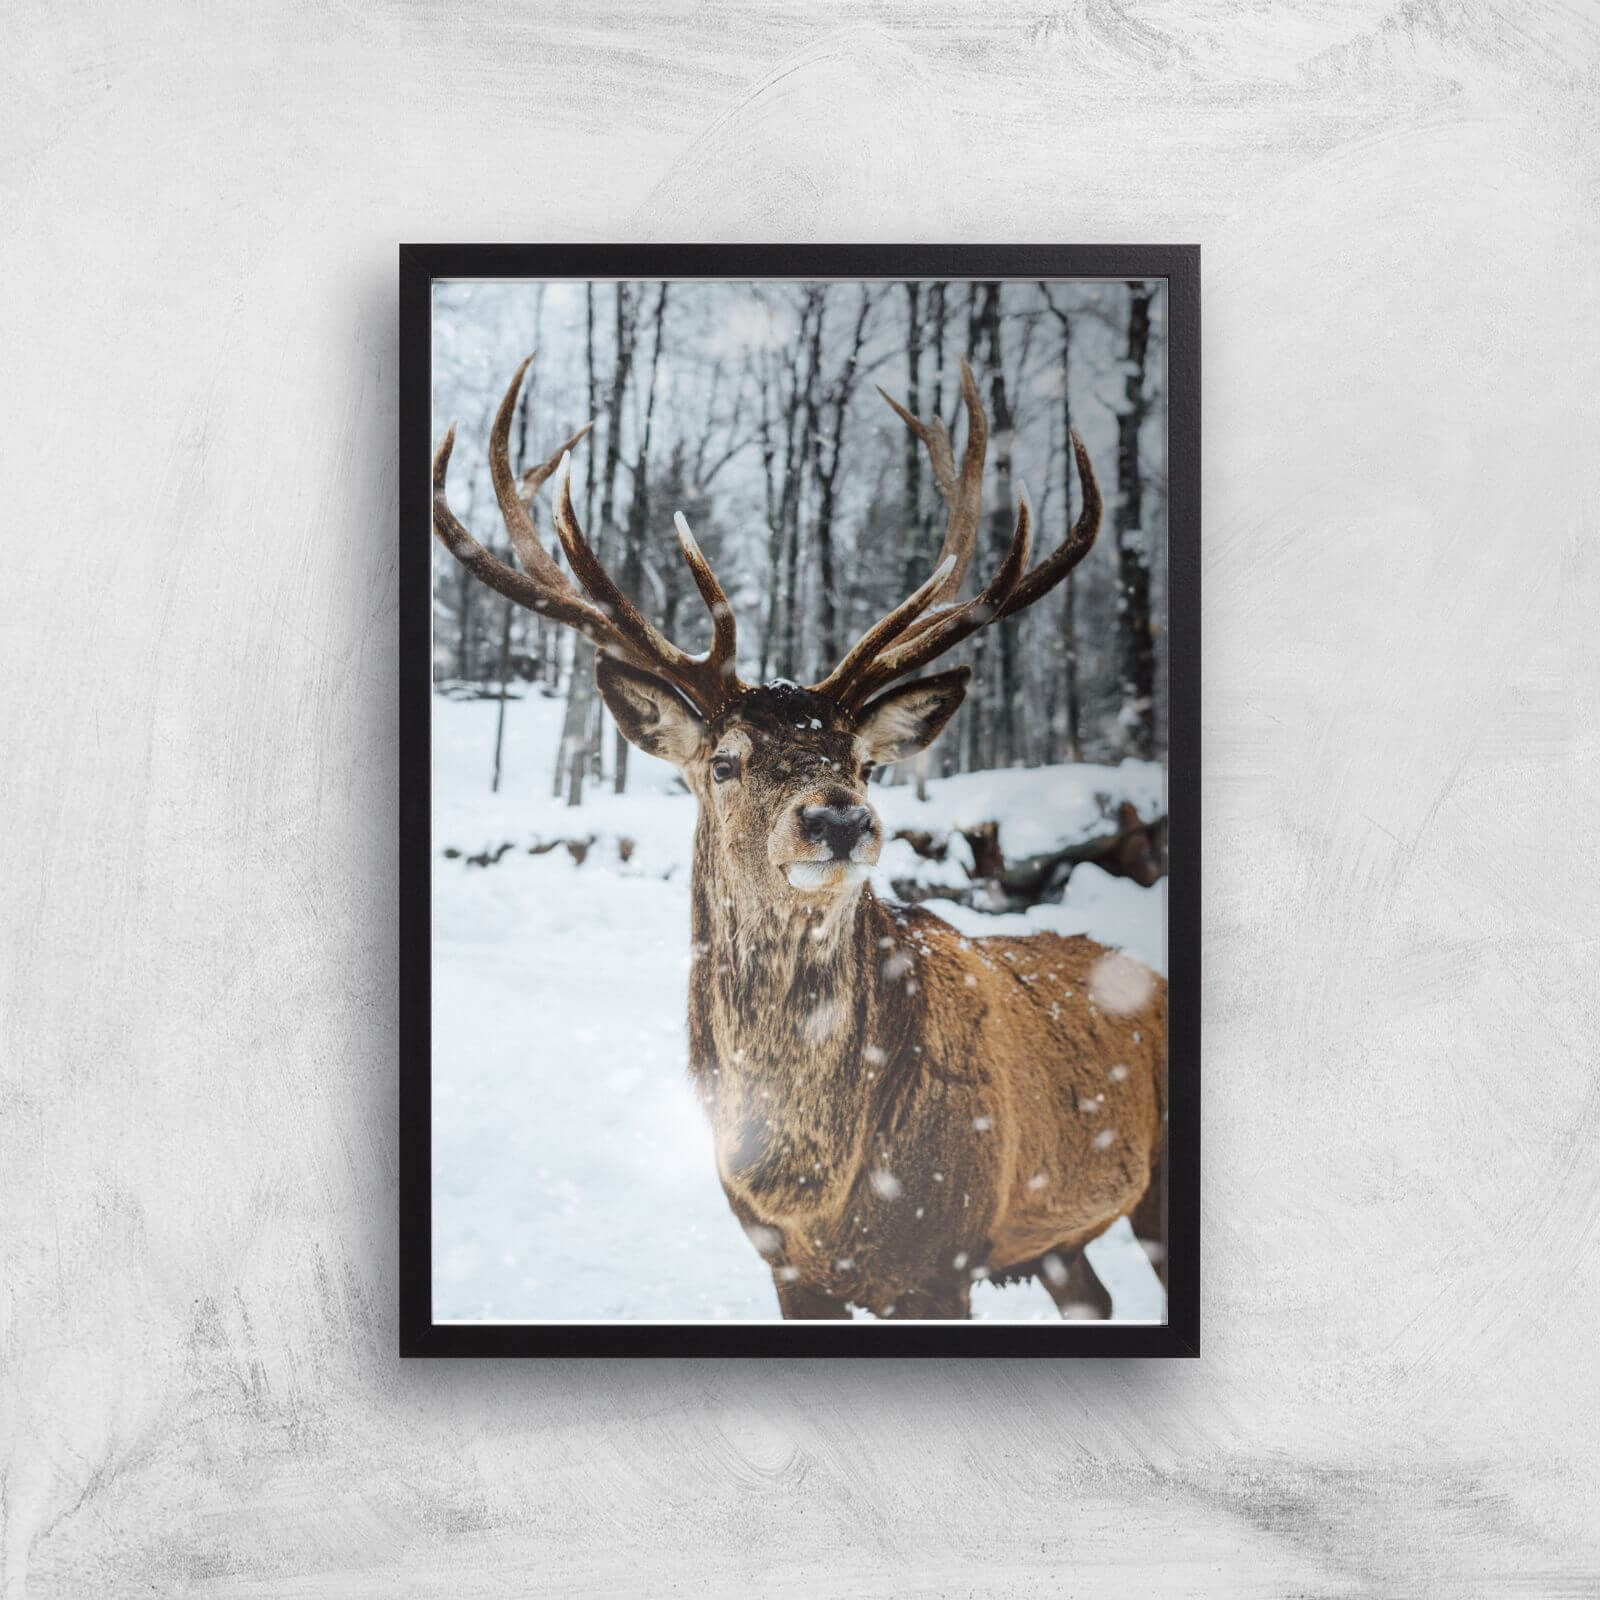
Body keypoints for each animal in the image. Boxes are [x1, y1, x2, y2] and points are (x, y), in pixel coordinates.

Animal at [432, 353, 1167, 1320]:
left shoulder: (947, 1260)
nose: (838, 818)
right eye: (724, 761)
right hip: (1059, 1246)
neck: (814, 1188)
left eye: (864, 763)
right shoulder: (782, 1265)